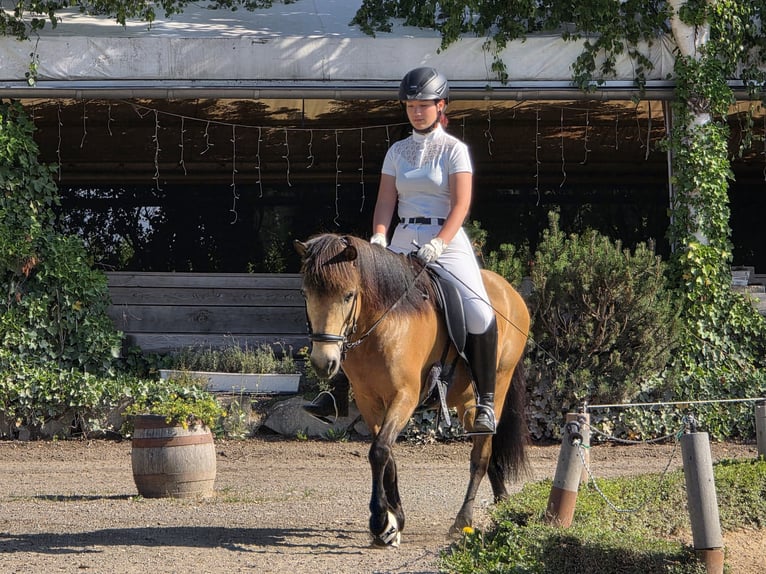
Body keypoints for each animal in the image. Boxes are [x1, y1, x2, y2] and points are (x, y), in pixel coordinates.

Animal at [294, 233, 530, 547]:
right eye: (305, 294)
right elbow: (387, 454)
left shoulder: (404, 397)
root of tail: (508, 289)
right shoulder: (369, 402)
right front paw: (395, 519)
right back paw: (501, 499)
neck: (384, 321)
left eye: (348, 295)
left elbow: (379, 451)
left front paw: (380, 521)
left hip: (498, 384)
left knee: (481, 454)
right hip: (464, 400)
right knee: (486, 450)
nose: (324, 363)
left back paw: (463, 520)